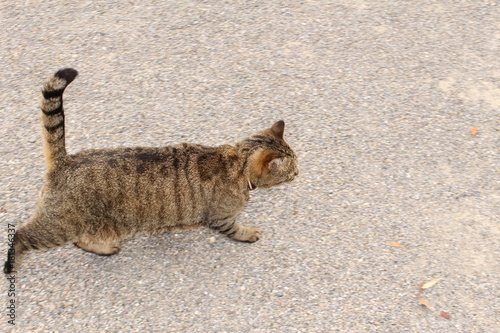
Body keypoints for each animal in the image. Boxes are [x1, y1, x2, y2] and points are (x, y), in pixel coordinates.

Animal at [2, 68, 296, 274]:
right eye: (293, 168)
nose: (299, 174)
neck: (237, 162)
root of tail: (65, 161)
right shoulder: (220, 217)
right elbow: (235, 229)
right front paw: (248, 234)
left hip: (92, 223)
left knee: (81, 240)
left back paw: (104, 248)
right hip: (61, 224)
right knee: (22, 236)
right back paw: (11, 266)